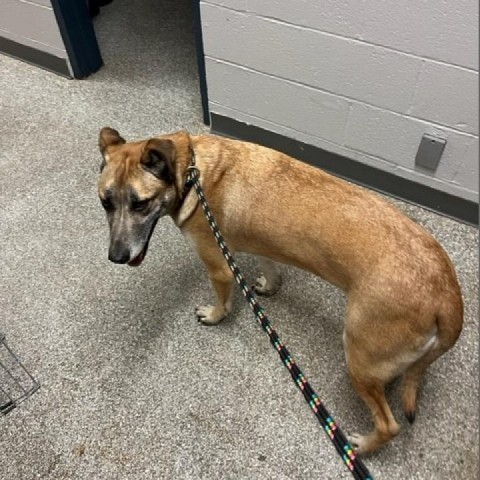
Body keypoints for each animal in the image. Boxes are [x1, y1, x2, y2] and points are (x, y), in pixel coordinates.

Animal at [97, 126, 462, 454]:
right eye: (105, 203)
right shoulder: (262, 246)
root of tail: (448, 295)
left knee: (389, 425)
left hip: (359, 358)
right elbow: (270, 269)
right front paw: (268, 286)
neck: (192, 172)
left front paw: (214, 315)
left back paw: (363, 446)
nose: (116, 257)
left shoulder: (218, 266)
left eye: (140, 204)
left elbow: (222, 302)